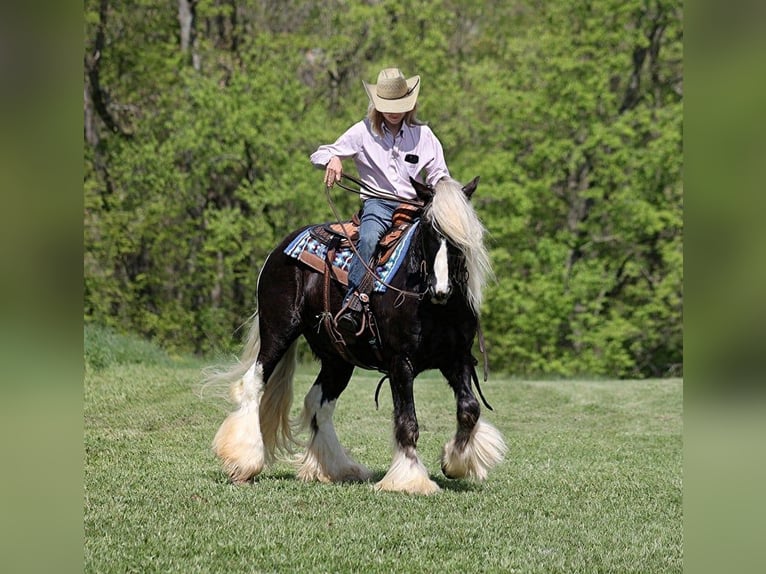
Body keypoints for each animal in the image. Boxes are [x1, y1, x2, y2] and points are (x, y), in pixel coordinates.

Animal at [208, 176, 510, 496]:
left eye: (459, 238)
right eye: (429, 229)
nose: (440, 289)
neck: (431, 304)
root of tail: (278, 250)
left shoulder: (457, 358)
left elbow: (469, 409)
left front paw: (454, 463)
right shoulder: (400, 363)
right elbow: (408, 421)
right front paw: (409, 478)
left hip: (338, 358)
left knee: (318, 403)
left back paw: (334, 468)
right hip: (278, 331)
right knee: (254, 384)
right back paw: (243, 462)